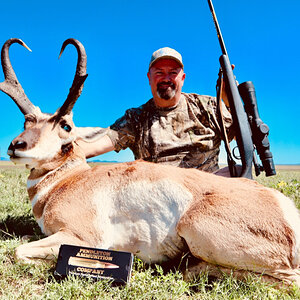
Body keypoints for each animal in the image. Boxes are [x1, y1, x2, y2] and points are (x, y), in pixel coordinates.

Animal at [1, 38, 300, 288]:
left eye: (65, 126)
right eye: (26, 122)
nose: (16, 146)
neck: (70, 180)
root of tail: (286, 211)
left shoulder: (80, 237)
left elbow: (19, 250)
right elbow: (22, 242)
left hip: (195, 225)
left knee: (287, 279)